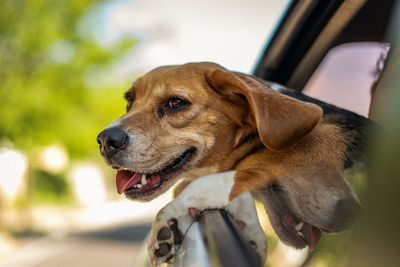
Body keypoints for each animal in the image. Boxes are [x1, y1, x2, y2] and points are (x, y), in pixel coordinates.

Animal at [97, 62, 372, 266]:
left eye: (176, 103)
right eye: (129, 100)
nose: (105, 141)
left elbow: (224, 178)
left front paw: (170, 216)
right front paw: (250, 232)